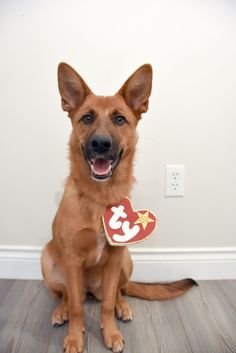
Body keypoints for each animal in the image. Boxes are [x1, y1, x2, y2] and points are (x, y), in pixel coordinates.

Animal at [40, 64, 195, 352]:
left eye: (120, 119)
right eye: (87, 118)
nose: (101, 143)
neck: (99, 198)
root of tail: (91, 289)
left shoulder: (113, 260)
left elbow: (108, 304)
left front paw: (111, 333)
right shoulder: (72, 261)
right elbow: (76, 307)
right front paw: (74, 338)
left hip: (126, 260)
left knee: (118, 292)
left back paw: (123, 308)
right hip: (48, 262)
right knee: (68, 294)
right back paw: (61, 310)